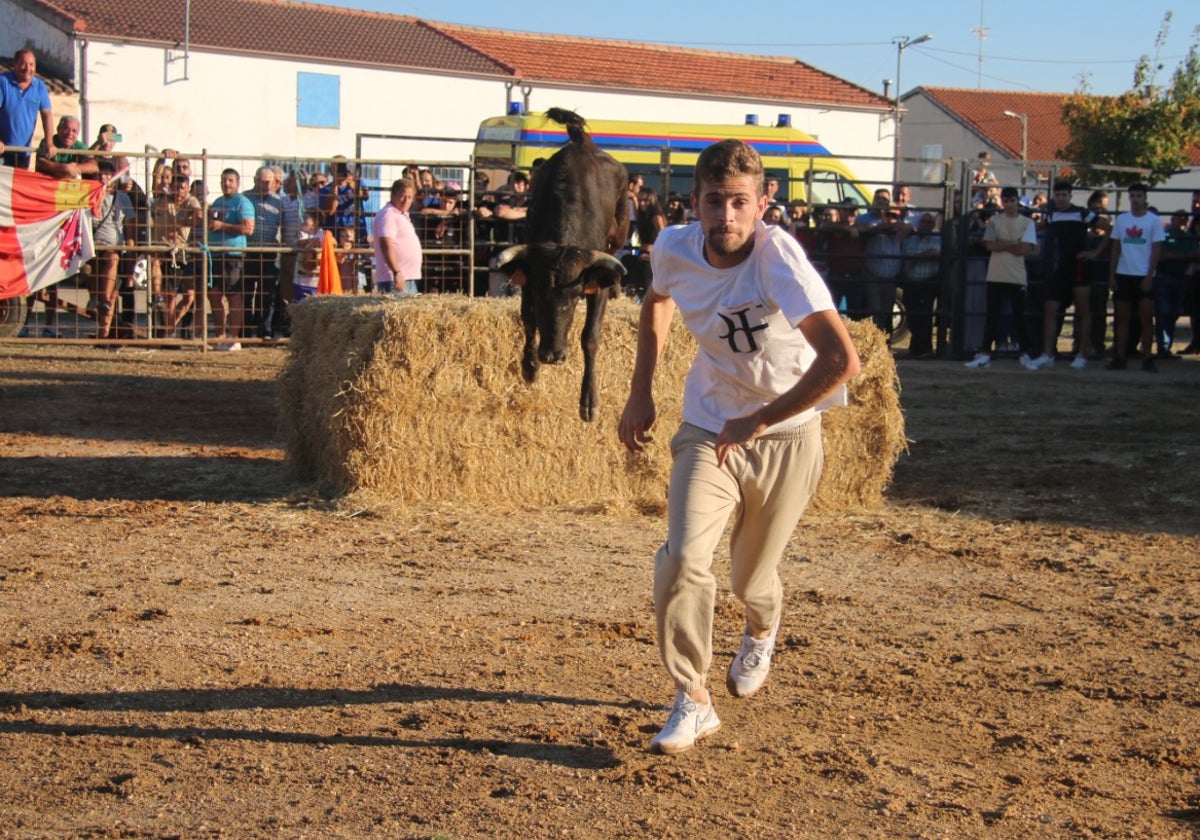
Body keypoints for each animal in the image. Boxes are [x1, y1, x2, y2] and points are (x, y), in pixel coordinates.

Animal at [494, 111, 628, 422]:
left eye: (576, 296)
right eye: (540, 294)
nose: (552, 355)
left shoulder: (596, 285)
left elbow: (590, 336)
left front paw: (589, 401)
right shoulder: (528, 276)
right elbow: (528, 318)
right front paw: (530, 366)